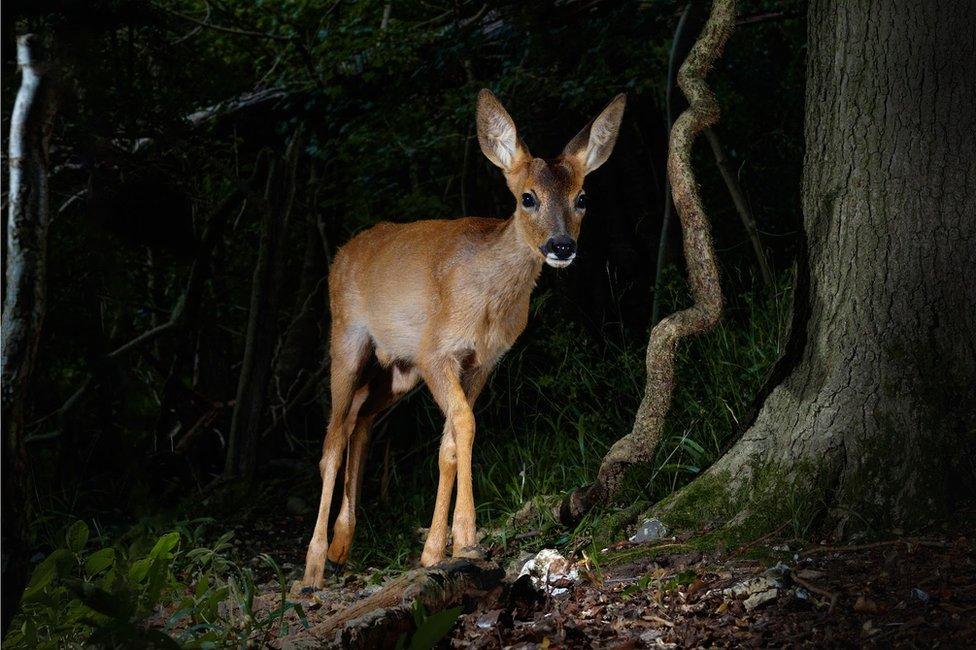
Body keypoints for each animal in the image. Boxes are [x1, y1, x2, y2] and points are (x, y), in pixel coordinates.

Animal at [302, 88, 628, 584]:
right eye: (527, 198)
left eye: (582, 197)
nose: (561, 246)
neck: (488, 301)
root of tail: (340, 254)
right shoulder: (437, 352)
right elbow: (465, 425)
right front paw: (468, 538)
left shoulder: (482, 361)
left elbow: (450, 444)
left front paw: (435, 550)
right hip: (346, 339)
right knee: (332, 439)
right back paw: (313, 566)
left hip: (398, 371)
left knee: (360, 423)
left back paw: (342, 545)